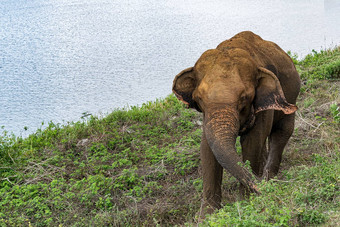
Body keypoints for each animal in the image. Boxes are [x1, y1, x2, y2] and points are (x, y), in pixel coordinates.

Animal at [173, 31, 300, 214]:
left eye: (244, 98)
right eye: (199, 99)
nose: (261, 188)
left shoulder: (262, 106)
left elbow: (252, 142)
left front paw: (247, 204)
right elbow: (207, 149)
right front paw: (208, 216)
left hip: (291, 96)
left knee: (282, 132)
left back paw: (268, 178)